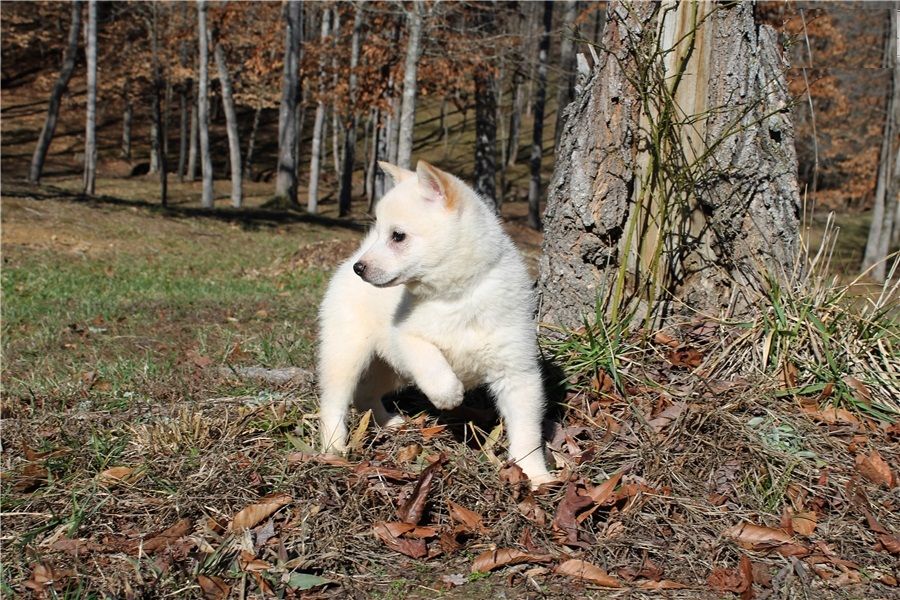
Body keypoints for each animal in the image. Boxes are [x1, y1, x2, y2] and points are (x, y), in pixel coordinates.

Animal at [317, 160, 552, 487]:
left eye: (397, 236)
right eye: (381, 232)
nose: (359, 268)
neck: (456, 297)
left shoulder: (517, 372)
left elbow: (528, 432)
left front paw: (536, 474)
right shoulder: (406, 338)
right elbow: (433, 364)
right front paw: (449, 395)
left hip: (390, 369)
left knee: (365, 395)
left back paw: (388, 422)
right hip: (347, 354)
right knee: (334, 402)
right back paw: (333, 447)